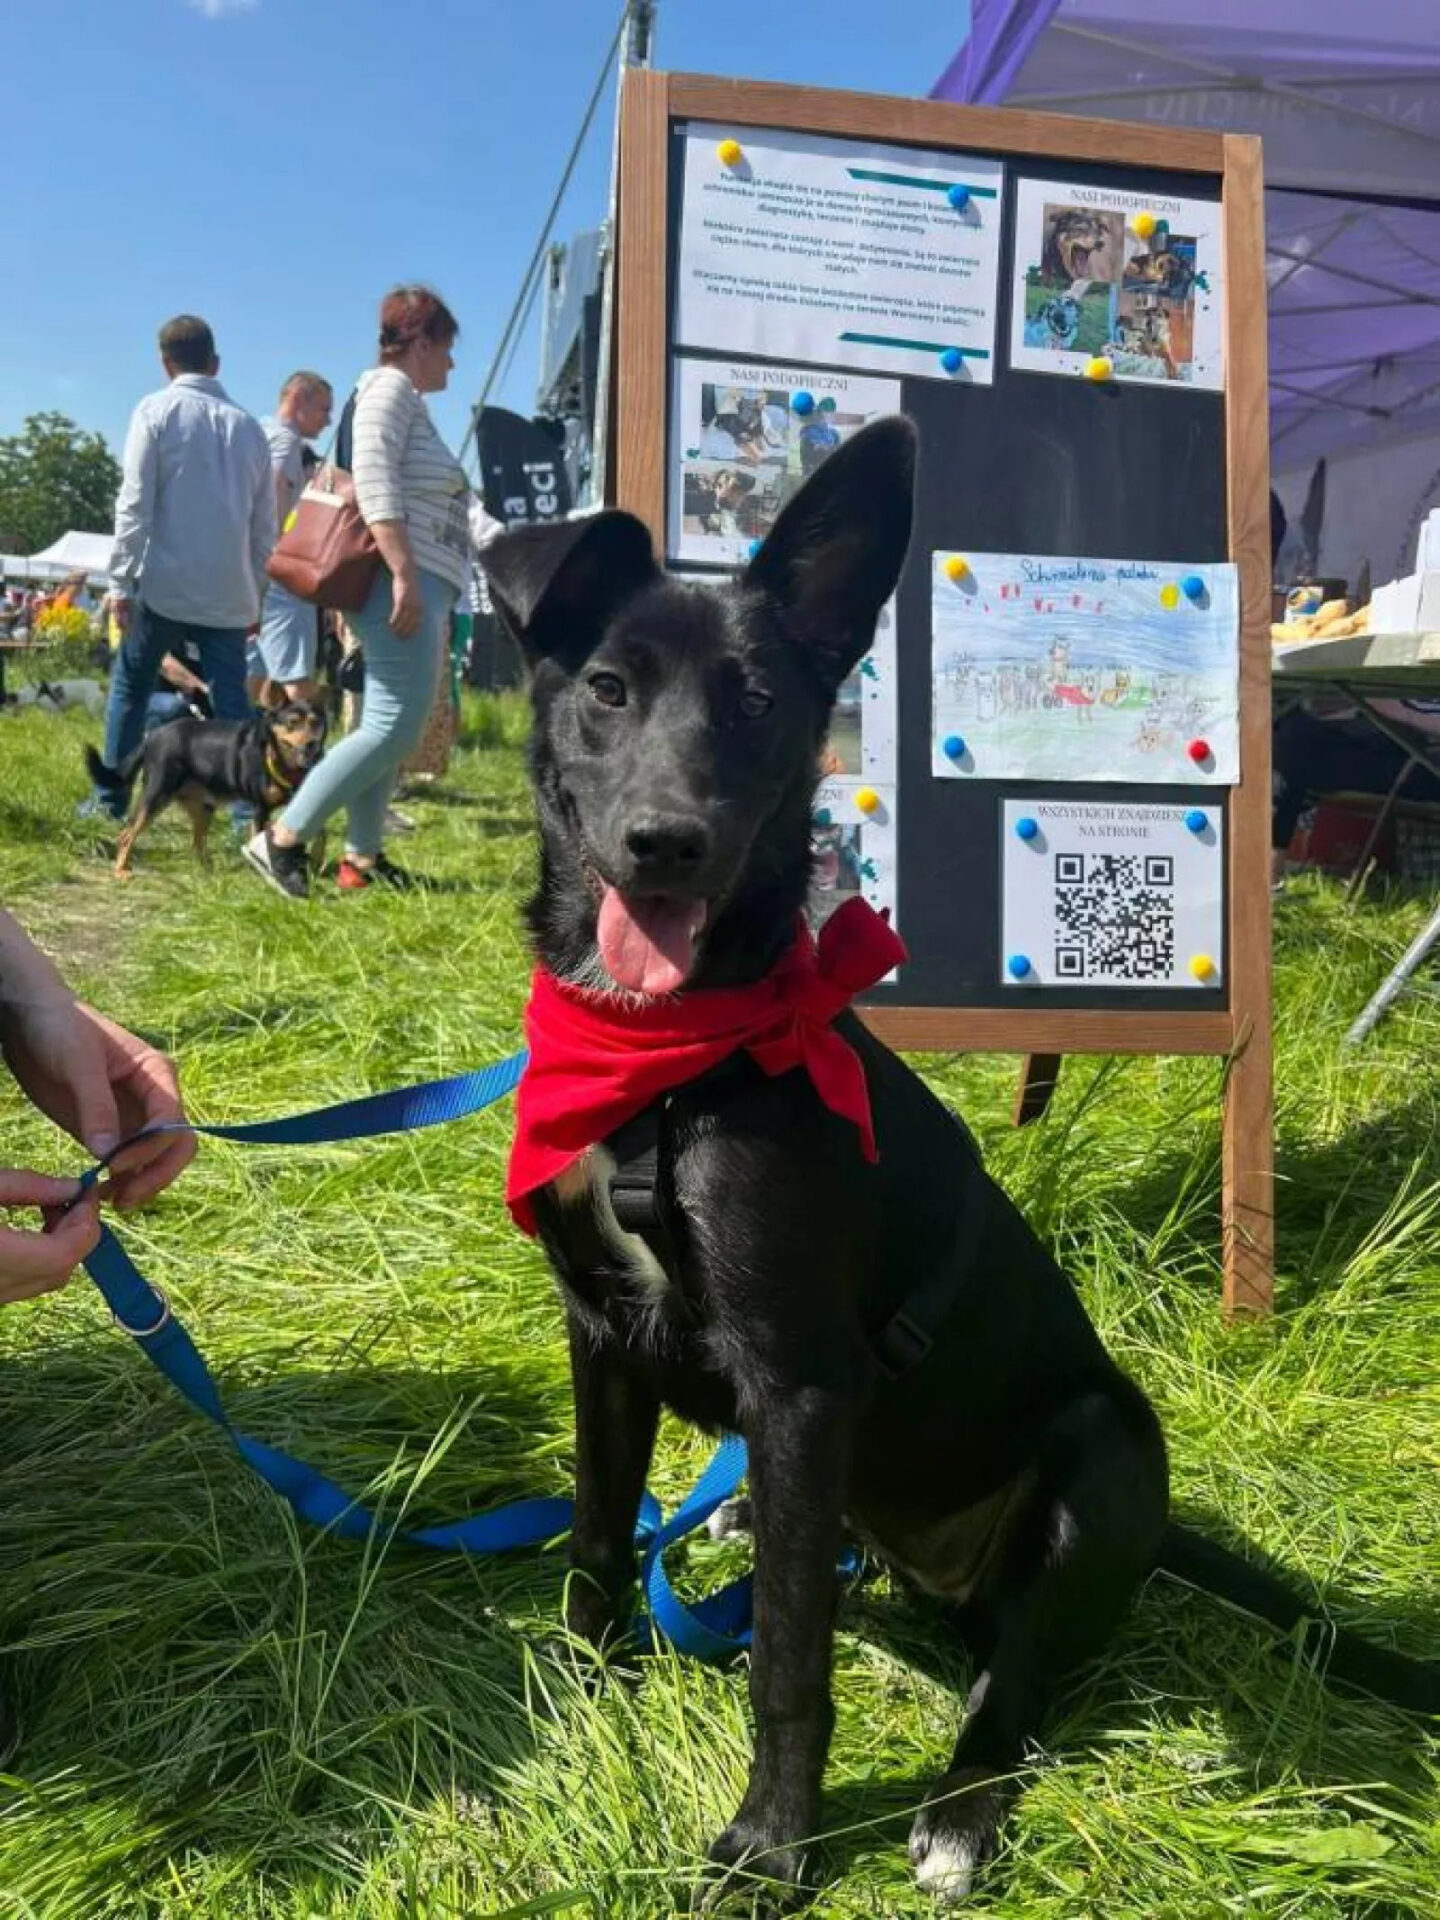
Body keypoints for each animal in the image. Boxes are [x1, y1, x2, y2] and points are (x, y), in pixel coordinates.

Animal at [85, 701, 327, 878]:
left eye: (316, 723)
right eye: (292, 723)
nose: (313, 745)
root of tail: (151, 737)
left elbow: (321, 832)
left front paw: (316, 861)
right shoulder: (260, 809)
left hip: (203, 808)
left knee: (196, 842)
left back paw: (208, 870)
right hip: (156, 796)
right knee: (126, 835)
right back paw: (120, 870)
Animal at [482, 420, 1438, 1909]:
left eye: (758, 702)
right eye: (607, 690)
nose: (665, 843)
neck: (668, 1049)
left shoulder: (801, 1386)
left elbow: (791, 1664)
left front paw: (771, 1849)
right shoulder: (599, 1332)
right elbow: (594, 1531)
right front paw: (582, 1684)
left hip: (1101, 1457)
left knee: (1019, 1684)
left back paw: (957, 1815)